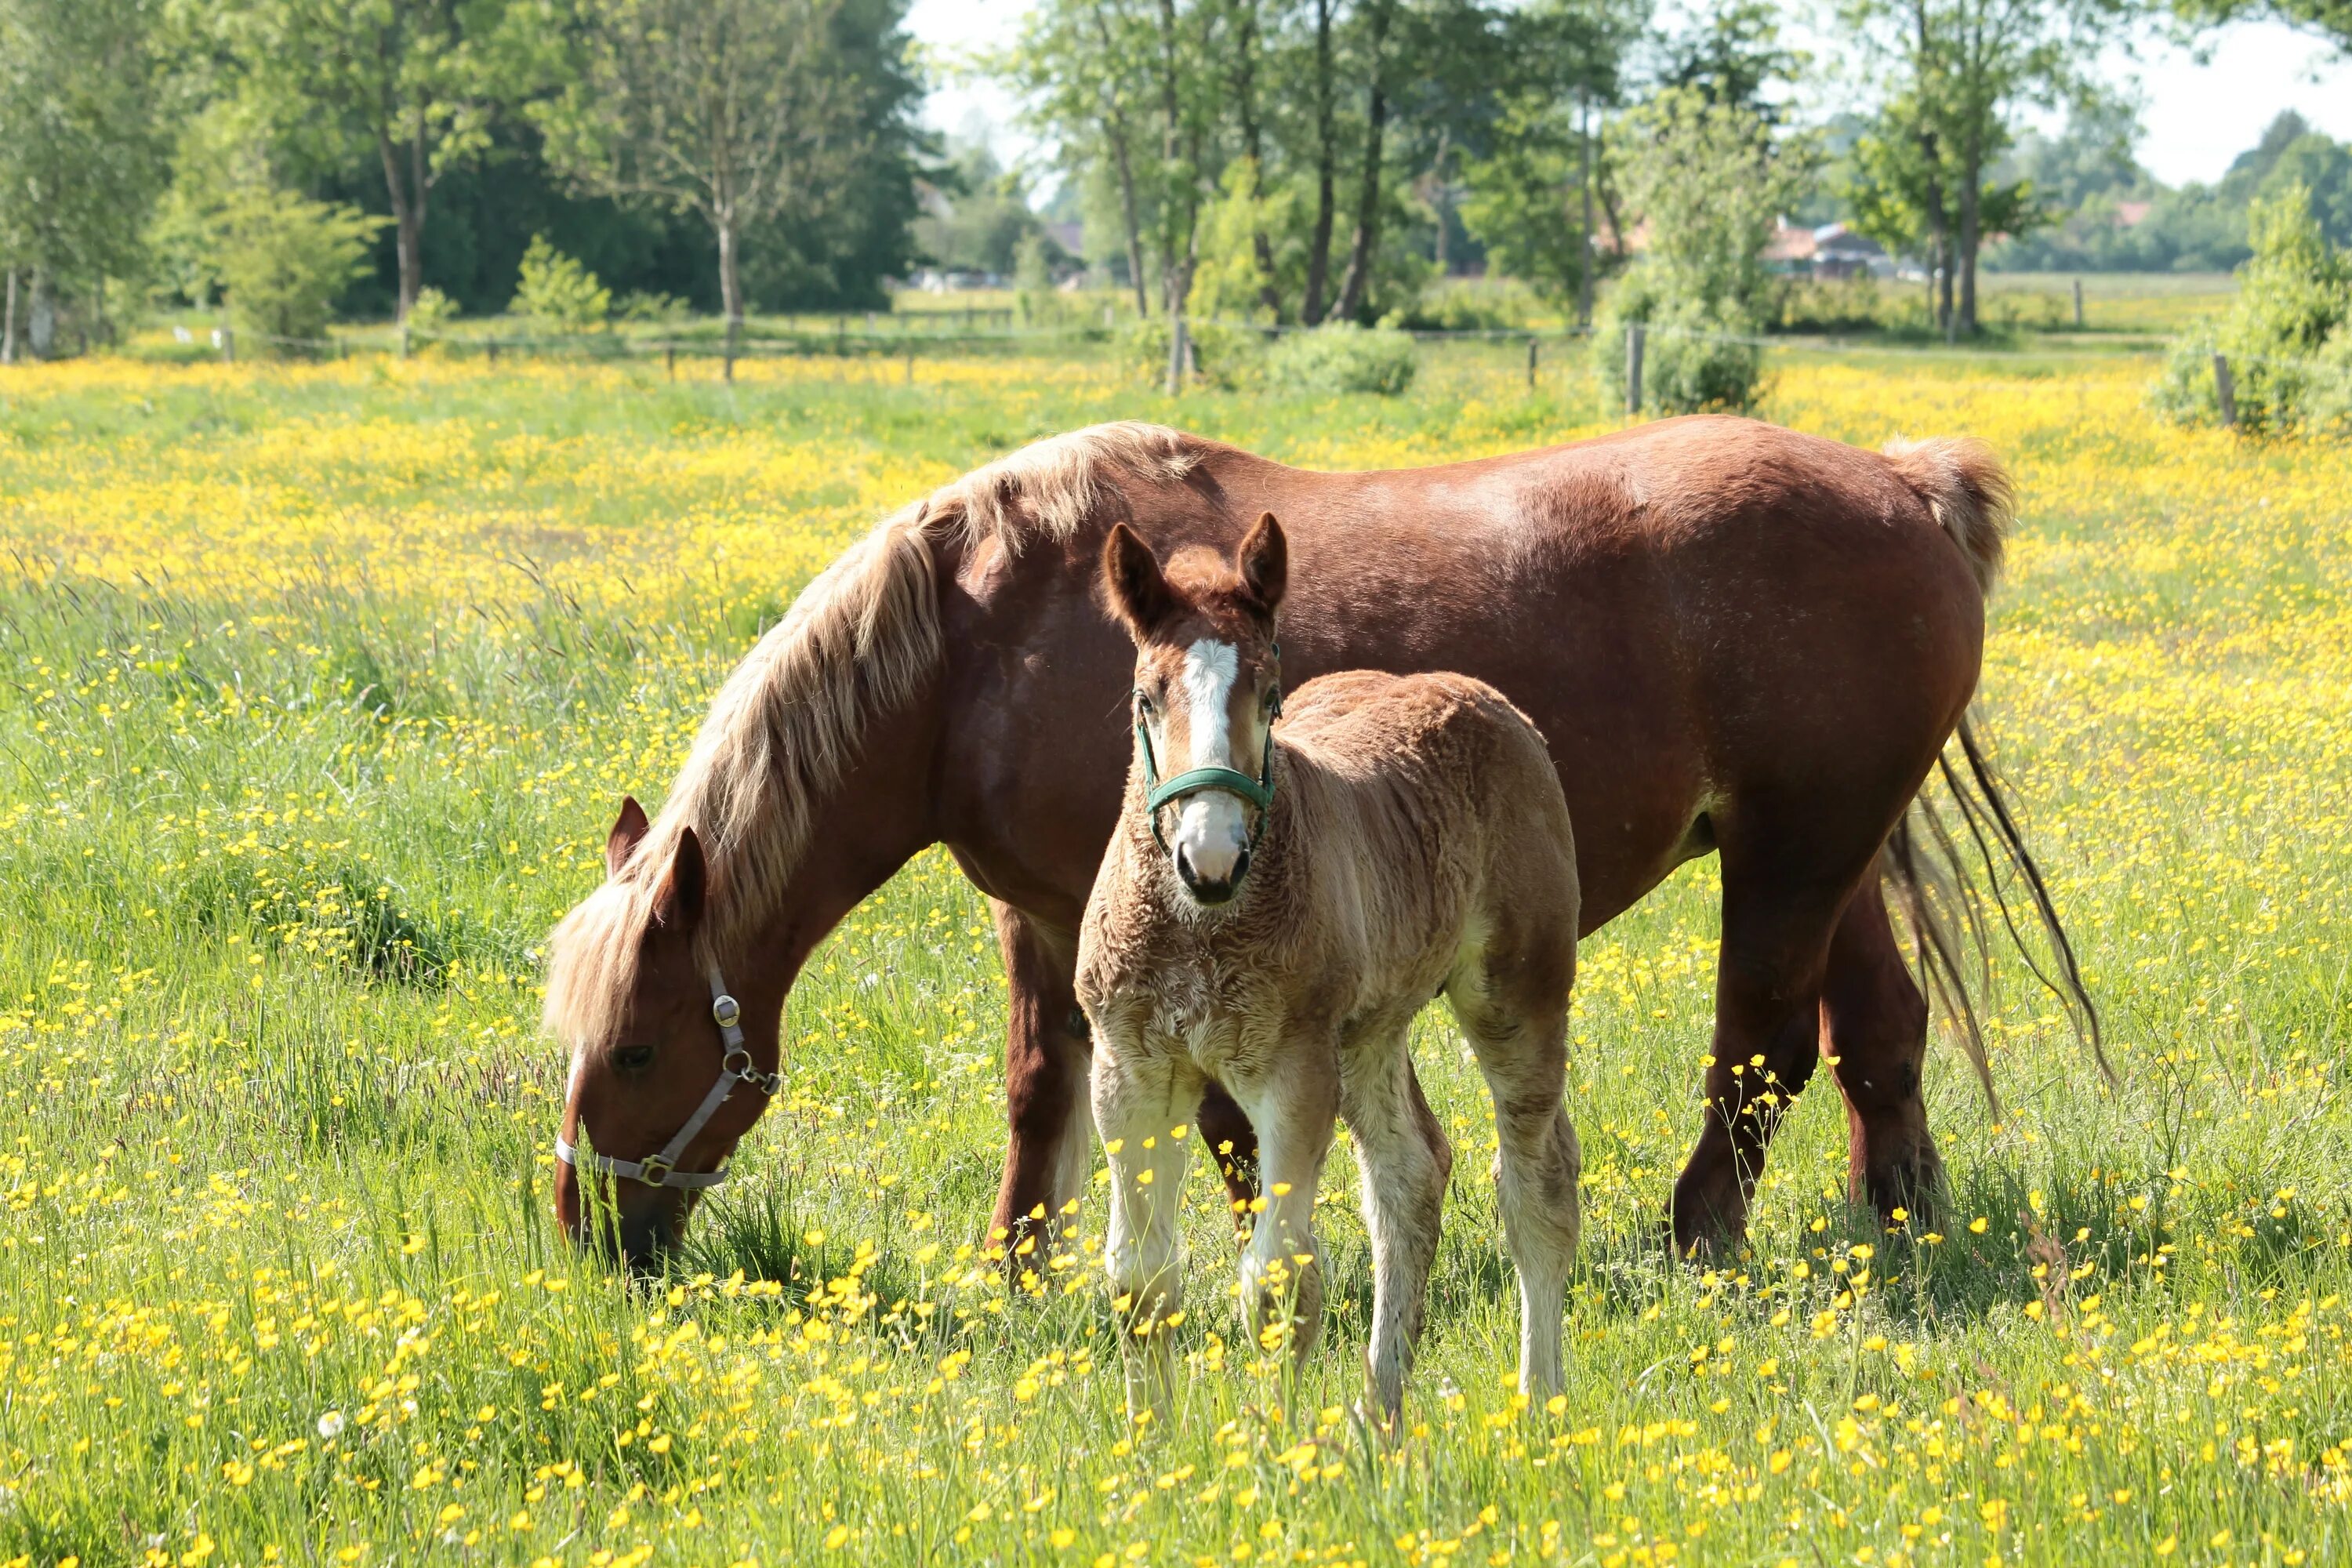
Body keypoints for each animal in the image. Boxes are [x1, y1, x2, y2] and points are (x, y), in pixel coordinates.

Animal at [539, 420, 2079, 1279]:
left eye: (635, 1048)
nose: (582, 1229)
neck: (986, 641)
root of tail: (1905, 481)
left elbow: (1233, 1122)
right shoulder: (1043, 919)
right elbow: (1041, 1094)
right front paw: (1018, 1271)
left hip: (1791, 862)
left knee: (1758, 1049)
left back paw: (1698, 1239)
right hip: (1830, 856)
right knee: (1877, 1035)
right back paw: (1907, 1226)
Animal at [1077, 514, 1590, 1420]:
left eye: (1270, 695)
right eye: (1147, 696)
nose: (1210, 858)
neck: (1202, 927)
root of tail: (1487, 699)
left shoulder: (1292, 1072)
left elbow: (1279, 1282)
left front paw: (1274, 1445)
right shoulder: (1130, 1070)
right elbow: (1141, 1280)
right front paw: (1151, 1447)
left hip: (1515, 994)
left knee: (1539, 1185)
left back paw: (1539, 1406)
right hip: (1366, 1033)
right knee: (1411, 1175)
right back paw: (1378, 1420)